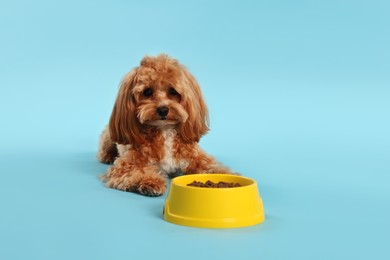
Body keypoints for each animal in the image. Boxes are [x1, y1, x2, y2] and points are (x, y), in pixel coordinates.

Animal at [97, 55, 232, 197]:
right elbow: (136, 173)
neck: (164, 129)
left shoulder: (196, 157)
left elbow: (211, 167)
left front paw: (224, 176)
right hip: (109, 137)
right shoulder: (127, 164)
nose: (163, 109)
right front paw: (150, 181)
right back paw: (108, 156)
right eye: (147, 91)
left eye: (173, 91)